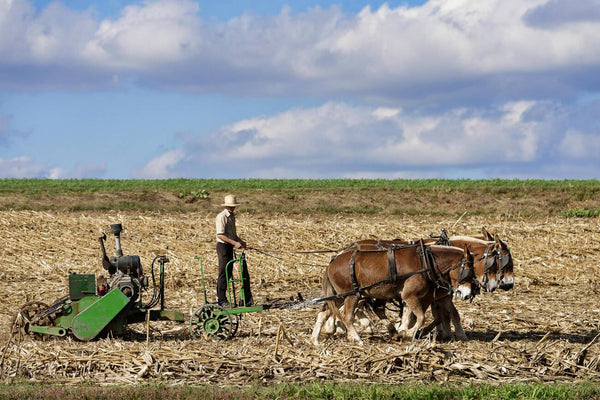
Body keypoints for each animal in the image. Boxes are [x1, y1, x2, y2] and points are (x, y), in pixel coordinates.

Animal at [312, 242, 476, 346]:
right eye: (469, 271)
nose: (468, 294)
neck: (425, 262)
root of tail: (331, 264)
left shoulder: (412, 298)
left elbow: (410, 316)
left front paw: (402, 331)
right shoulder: (410, 296)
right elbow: (421, 317)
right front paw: (408, 333)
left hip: (339, 296)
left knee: (324, 313)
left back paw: (315, 339)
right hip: (351, 295)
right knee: (347, 317)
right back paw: (357, 339)